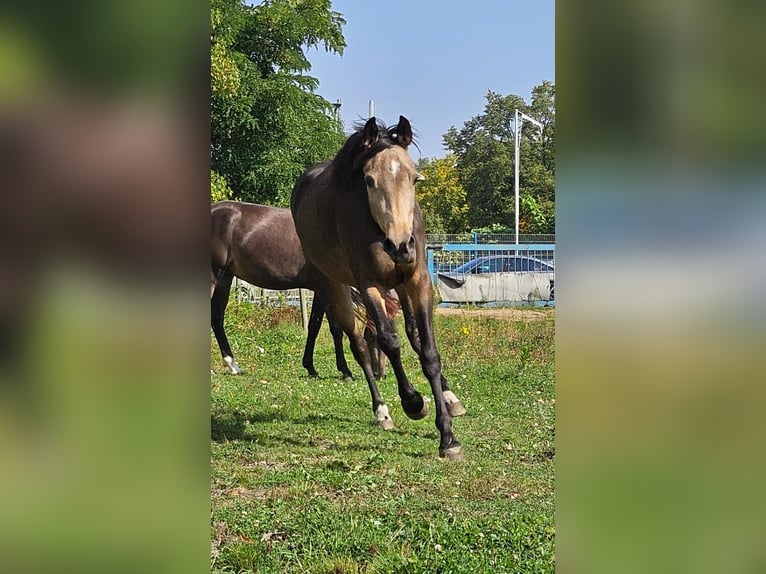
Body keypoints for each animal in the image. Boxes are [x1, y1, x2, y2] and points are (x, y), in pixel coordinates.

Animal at [290, 118, 464, 464]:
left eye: (414, 178)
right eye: (369, 181)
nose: (400, 245)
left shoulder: (418, 280)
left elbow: (428, 351)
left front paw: (448, 435)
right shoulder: (368, 284)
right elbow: (388, 341)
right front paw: (414, 402)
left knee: (410, 334)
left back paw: (450, 398)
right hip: (334, 286)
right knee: (357, 342)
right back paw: (381, 410)